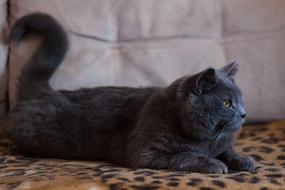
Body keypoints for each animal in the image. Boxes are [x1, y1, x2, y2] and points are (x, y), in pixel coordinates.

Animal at [4, 13, 254, 174]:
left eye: (241, 99)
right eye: (227, 102)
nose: (244, 113)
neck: (206, 140)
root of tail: (44, 92)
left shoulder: (220, 144)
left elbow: (228, 151)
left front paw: (243, 160)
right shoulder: (144, 151)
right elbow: (183, 156)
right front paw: (214, 164)